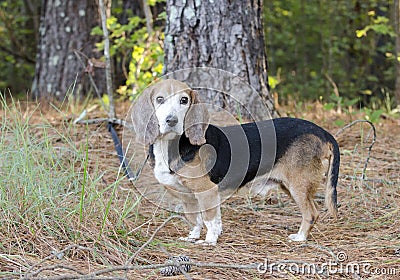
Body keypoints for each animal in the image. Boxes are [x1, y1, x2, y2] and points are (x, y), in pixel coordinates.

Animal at [130, 79, 338, 245]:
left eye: (184, 100)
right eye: (159, 99)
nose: (171, 120)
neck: (170, 144)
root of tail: (322, 132)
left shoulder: (207, 192)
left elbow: (210, 220)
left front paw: (210, 241)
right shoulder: (187, 196)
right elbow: (195, 219)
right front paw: (193, 237)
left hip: (298, 185)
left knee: (311, 213)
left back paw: (300, 237)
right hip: (289, 185)